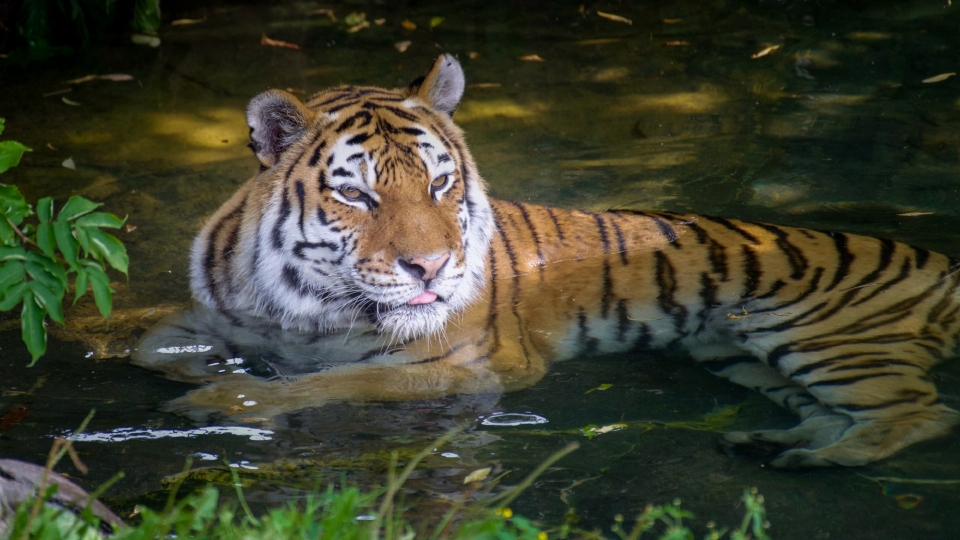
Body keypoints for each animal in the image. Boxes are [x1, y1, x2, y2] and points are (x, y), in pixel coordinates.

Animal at [163, 53, 960, 468]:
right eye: (356, 194)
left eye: (440, 184)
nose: (432, 268)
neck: (301, 300)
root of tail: (942, 261)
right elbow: (174, 341)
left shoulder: (463, 366)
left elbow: (333, 384)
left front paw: (220, 403)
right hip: (736, 353)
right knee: (833, 410)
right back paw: (780, 447)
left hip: (822, 338)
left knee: (924, 412)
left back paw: (824, 458)